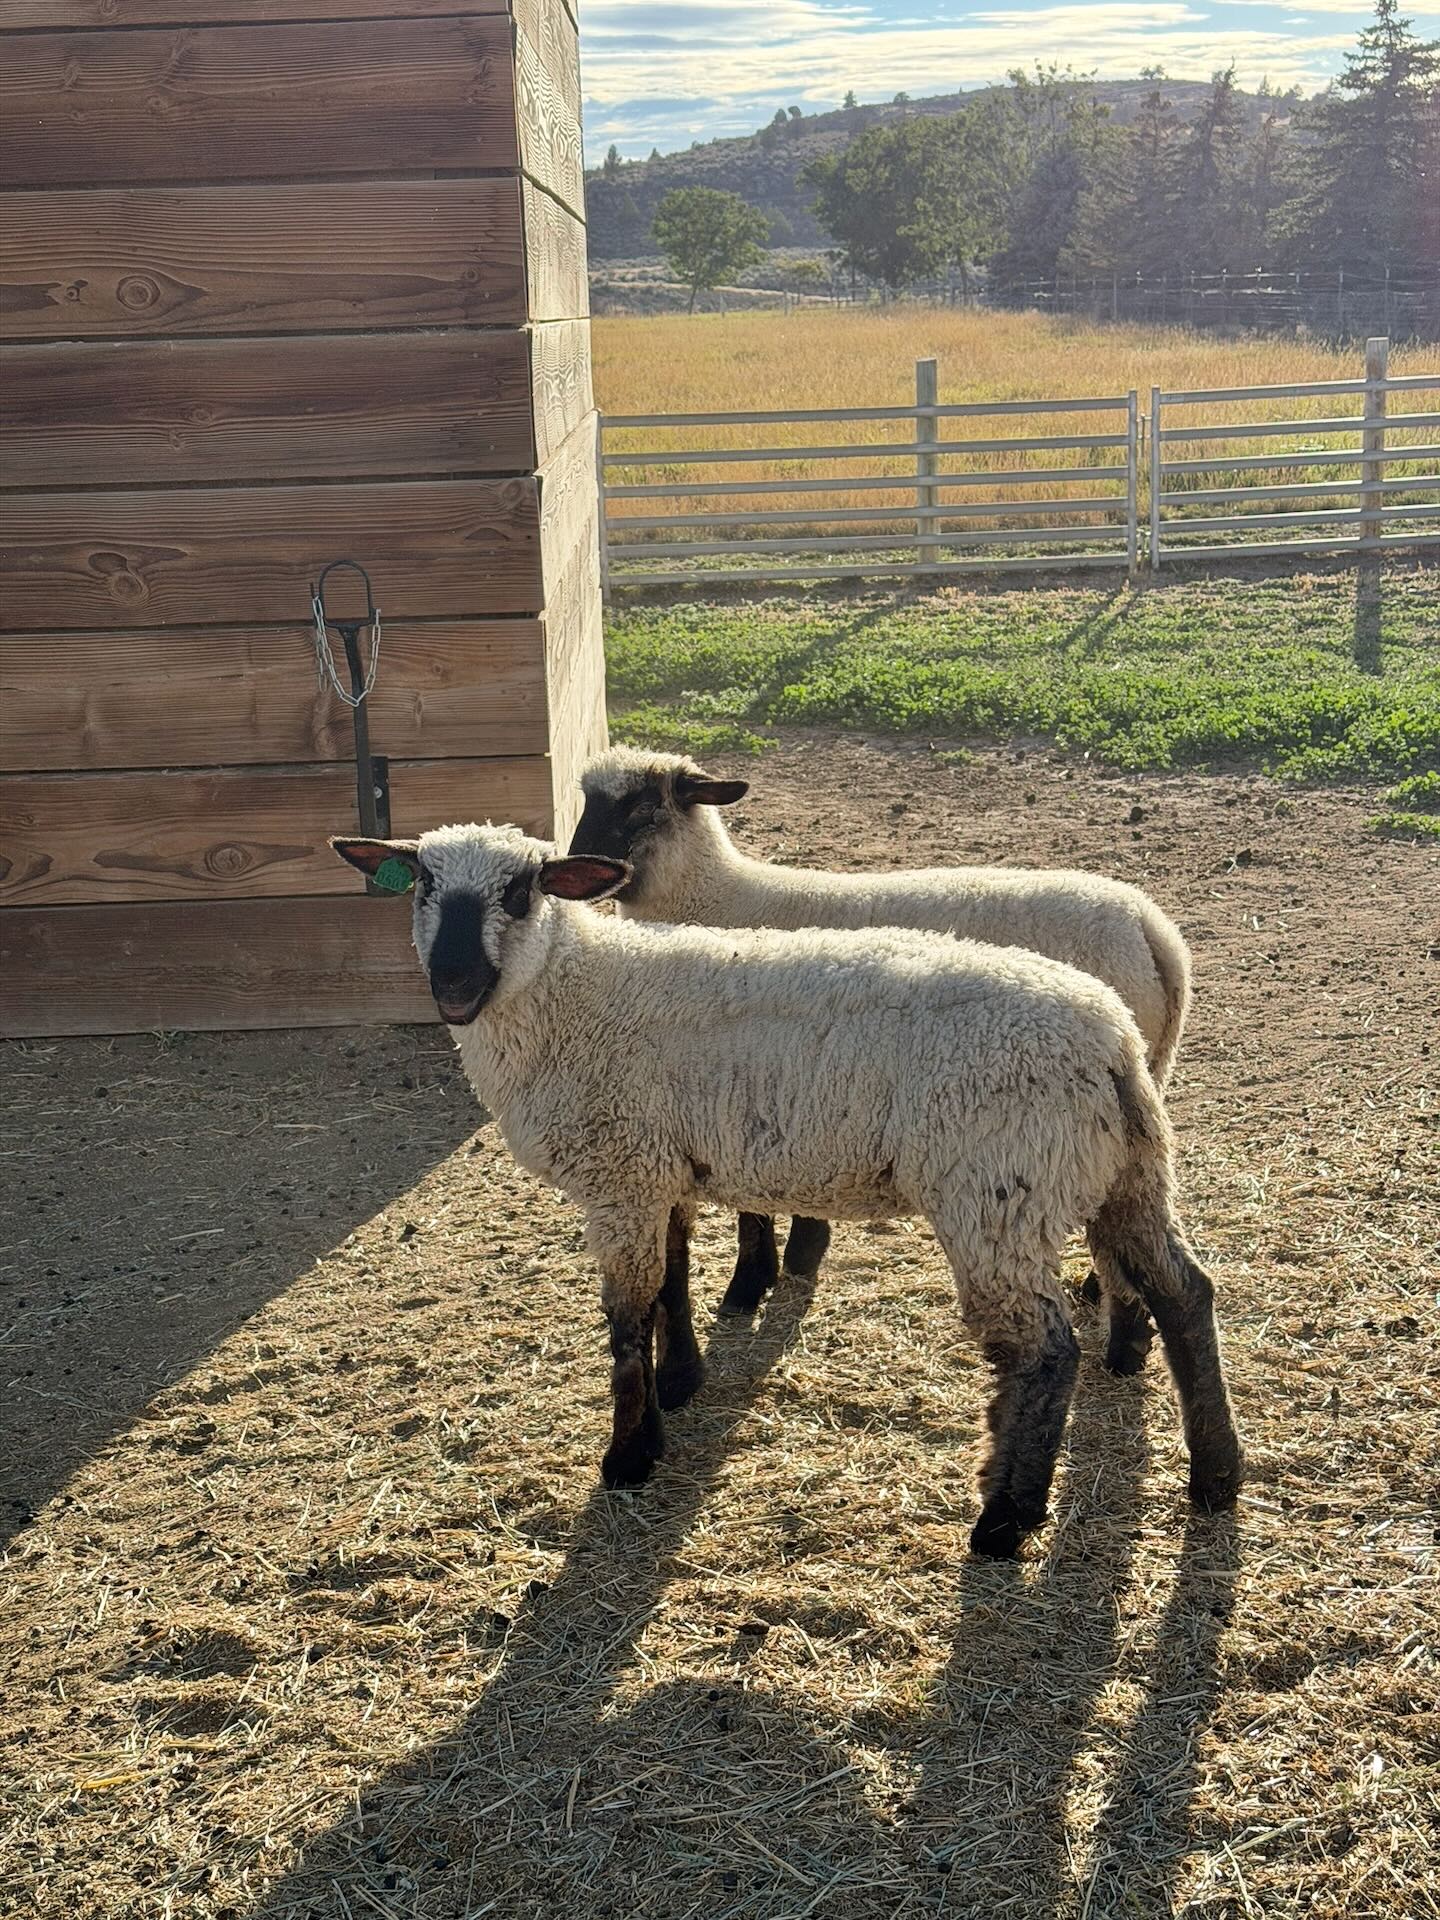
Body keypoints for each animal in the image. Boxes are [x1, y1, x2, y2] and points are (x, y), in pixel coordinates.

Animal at [332, 822, 1243, 1559]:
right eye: (421, 884)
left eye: (521, 892)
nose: (452, 984)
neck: (573, 996)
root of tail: (1115, 1042)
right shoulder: (664, 1168)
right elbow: (670, 1283)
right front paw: (679, 1388)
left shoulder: (622, 1175)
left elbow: (627, 1317)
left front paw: (629, 1456)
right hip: (1124, 1175)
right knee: (1184, 1293)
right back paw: (1217, 1477)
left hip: (997, 1195)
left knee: (1045, 1350)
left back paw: (1006, 1520)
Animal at [569, 748, 1194, 1368]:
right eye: (587, 802)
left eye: (643, 808)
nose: (580, 867)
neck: (721, 896)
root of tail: (1153, 928)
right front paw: (793, 1257)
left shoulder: (740, 1085)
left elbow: (753, 1205)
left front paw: (752, 1283)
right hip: (1143, 1074)